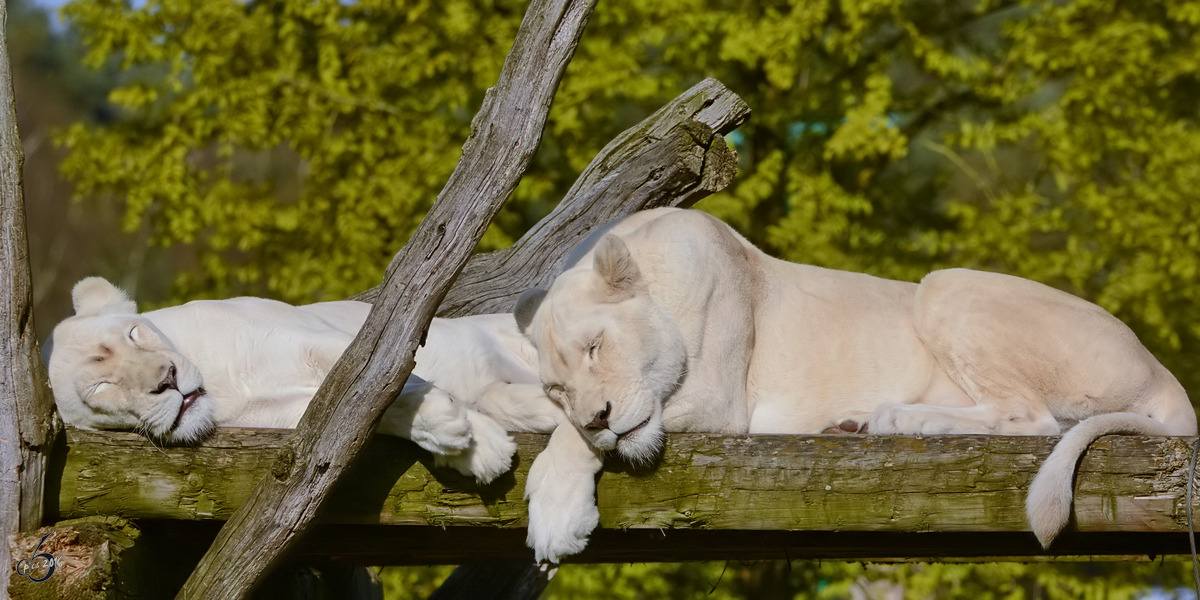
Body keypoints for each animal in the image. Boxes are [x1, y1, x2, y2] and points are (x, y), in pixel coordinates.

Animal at [48, 276, 566, 482]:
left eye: (134, 334)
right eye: (101, 388)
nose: (168, 380)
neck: (221, 384)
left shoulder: (320, 337)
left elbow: (383, 380)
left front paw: (469, 439)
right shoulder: (289, 422)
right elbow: (364, 412)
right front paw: (476, 447)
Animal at [518, 206, 1200, 561]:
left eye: (596, 347)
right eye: (557, 387)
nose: (600, 416)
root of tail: (1163, 371)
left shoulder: (716, 396)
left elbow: (569, 440)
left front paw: (554, 514)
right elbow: (542, 420)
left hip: (945, 285)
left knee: (1031, 418)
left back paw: (895, 418)